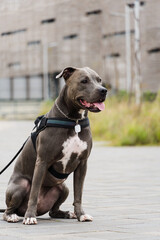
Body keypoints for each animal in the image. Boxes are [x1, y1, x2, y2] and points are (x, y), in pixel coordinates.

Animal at [3, 67, 107, 225]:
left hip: (63, 187)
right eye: (84, 81)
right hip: (19, 185)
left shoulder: (82, 164)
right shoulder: (42, 161)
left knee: (53, 211)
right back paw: (13, 216)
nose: (103, 90)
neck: (74, 121)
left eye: (99, 80)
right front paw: (29, 217)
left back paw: (66, 213)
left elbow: (78, 194)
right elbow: (34, 193)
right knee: (8, 209)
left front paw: (81, 215)